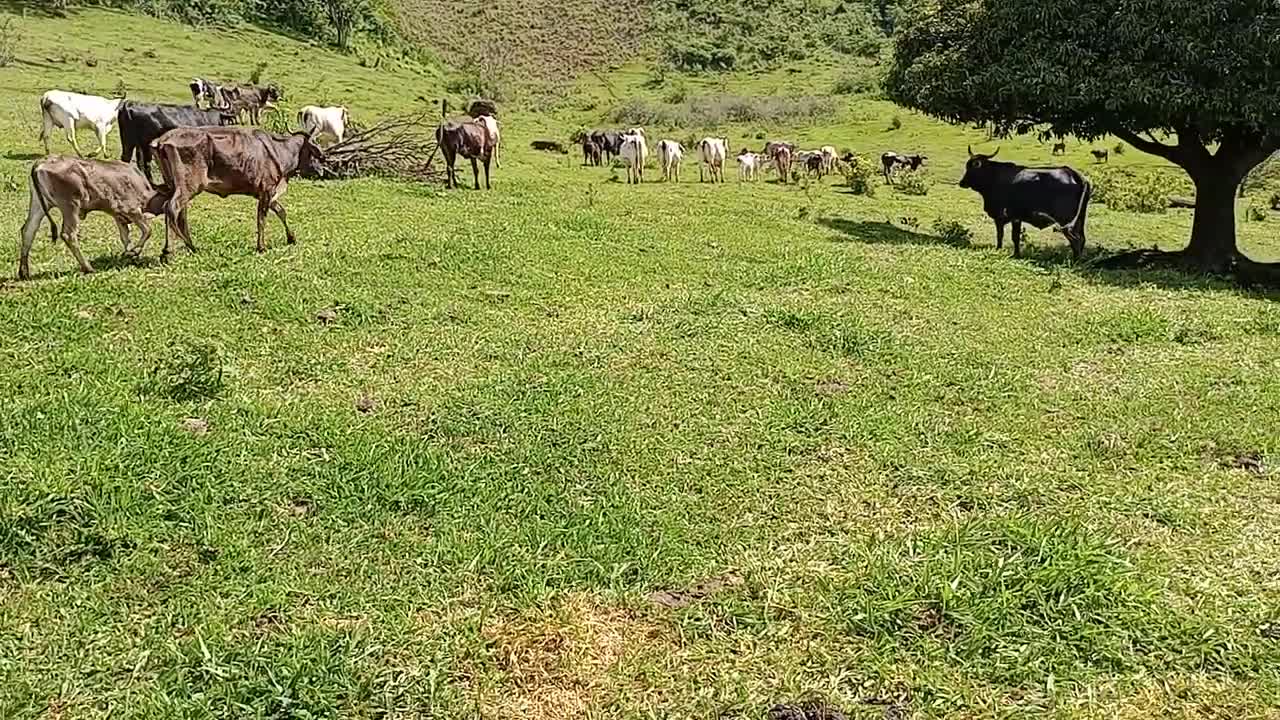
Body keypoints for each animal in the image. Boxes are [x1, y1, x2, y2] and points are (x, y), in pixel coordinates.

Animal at [150, 127, 325, 258]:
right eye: (314, 146)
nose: (323, 162)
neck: (281, 150)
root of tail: (162, 140)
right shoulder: (267, 190)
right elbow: (261, 219)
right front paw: (261, 247)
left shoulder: (268, 193)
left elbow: (281, 211)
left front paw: (291, 238)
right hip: (189, 186)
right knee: (172, 208)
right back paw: (171, 251)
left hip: (174, 185)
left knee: (177, 213)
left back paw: (189, 247)